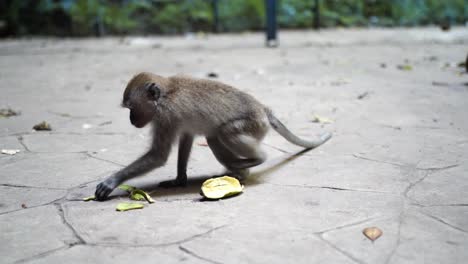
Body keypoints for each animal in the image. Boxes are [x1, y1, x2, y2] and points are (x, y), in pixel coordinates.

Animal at [94, 72, 330, 200]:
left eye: (132, 108)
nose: (131, 119)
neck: (166, 94)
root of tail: (264, 109)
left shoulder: (166, 117)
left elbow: (159, 155)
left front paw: (112, 181)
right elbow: (186, 138)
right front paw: (179, 180)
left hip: (254, 125)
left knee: (225, 132)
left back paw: (254, 161)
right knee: (214, 138)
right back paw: (239, 171)